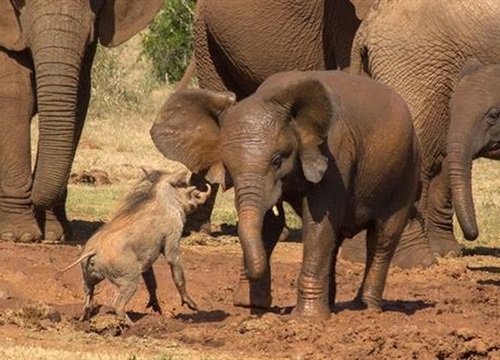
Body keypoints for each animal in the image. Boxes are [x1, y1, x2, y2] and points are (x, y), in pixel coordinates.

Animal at [0, 0, 161, 242]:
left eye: (95, 1)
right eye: (19, 2)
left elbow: (79, 95)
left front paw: (54, 234)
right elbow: (15, 96)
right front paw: (20, 235)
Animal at [59, 169, 210, 324]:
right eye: (182, 184)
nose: (204, 191)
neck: (166, 201)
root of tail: (93, 250)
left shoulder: (146, 261)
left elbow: (151, 281)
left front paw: (155, 307)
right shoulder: (173, 238)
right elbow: (177, 273)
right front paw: (192, 305)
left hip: (89, 278)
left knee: (87, 302)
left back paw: (82, 321)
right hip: (129, 281)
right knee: (117, 305)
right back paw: (131, 325)